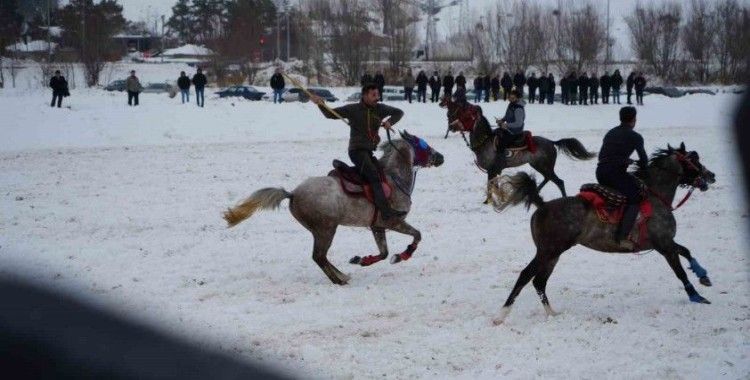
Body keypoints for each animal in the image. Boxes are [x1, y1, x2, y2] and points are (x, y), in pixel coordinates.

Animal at [223, 132, 446, 284]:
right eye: (423, 144)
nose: (441, 157)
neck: (394, 179)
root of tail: (292, 193)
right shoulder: (393, 221)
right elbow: (417, 235)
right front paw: (401, 256)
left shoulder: (377, 226)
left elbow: (383, 252)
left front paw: (362, 260)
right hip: (326, 229)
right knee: (319, 256)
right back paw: (339, 279)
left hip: (320, 230)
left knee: (320, 257)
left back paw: (342, 275)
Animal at [440, 95, 600, 202]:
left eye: (466, 116)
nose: (451, 126)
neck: (485, 142)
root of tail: (551, 142)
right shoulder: (494, 171)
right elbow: (494, 186)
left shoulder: (493, 170)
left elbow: (491, 186)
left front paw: (489, 201)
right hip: (538, 165)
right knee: (548, 178)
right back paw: (535, 192)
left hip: (545, 166)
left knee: (559, 181)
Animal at [490, 142, 720, 324]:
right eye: (694, 159)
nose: (712, 175)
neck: (656, 197)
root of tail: (543, 205)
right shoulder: (664, 245)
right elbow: (680, 272)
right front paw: (697, 297)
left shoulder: (665, 243)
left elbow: (686, 251)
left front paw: (703, 276)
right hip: (548, 251)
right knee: (526, 276)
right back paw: (500, 316)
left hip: (552, 254)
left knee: (539, 281)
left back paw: (551, 313)